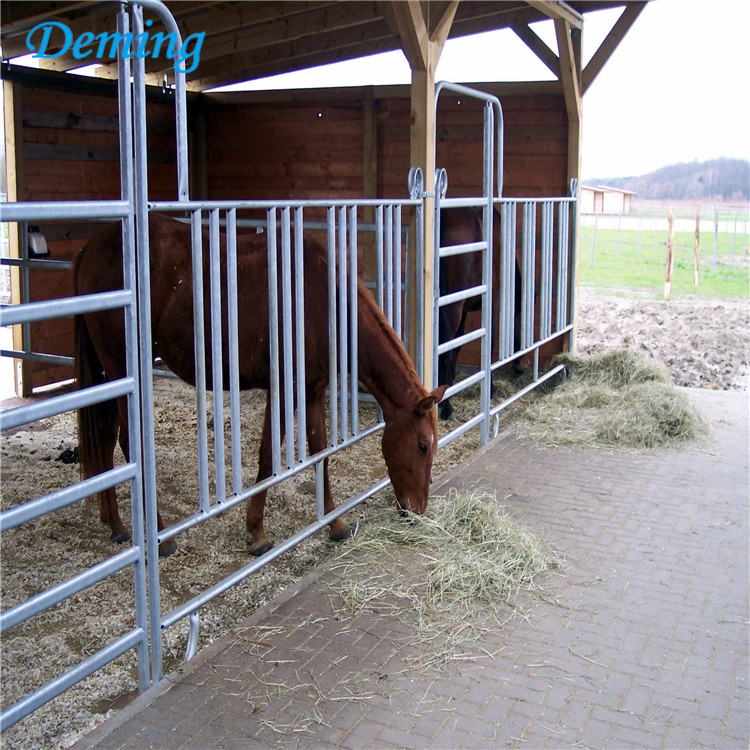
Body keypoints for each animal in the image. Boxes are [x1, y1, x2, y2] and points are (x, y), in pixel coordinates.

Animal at [77, 214, 450, 556]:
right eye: (422, 446)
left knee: (107, 440)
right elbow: (268, 456)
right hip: (121, 370)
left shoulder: (313, 390)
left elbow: (321, 451)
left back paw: (117, 526)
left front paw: (335, 523)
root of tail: (92, 245)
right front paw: (257, 532)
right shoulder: (284, 388)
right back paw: (161, 537)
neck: (320, 297)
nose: (416, 512)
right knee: (128, 442)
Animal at [440, 209, 524, 424]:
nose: (520, 368)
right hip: (453, 306)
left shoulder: (464, 310)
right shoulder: (493, 299)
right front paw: (491, 388)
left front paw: (452, 382)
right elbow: (490, 341)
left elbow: (458, 344)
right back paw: (446, 407)